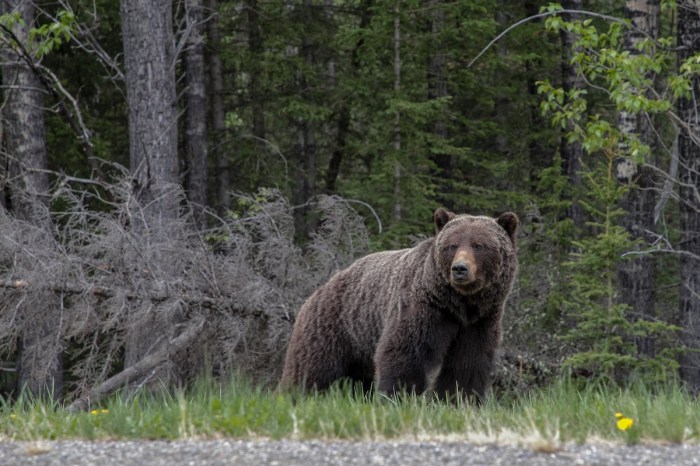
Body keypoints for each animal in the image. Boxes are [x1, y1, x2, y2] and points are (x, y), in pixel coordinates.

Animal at [279, 207, 518, 402]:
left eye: (479, 245)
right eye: (452, 245)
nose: (460, 269)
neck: (459, 304)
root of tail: (317, 291)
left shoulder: (479, 321)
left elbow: (467, 362)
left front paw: (459, 399)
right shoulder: (424, 307)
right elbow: (405, 352)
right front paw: (399, 396)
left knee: (357, 378)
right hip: (332, 326)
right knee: (310, 368)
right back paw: (293, 396)